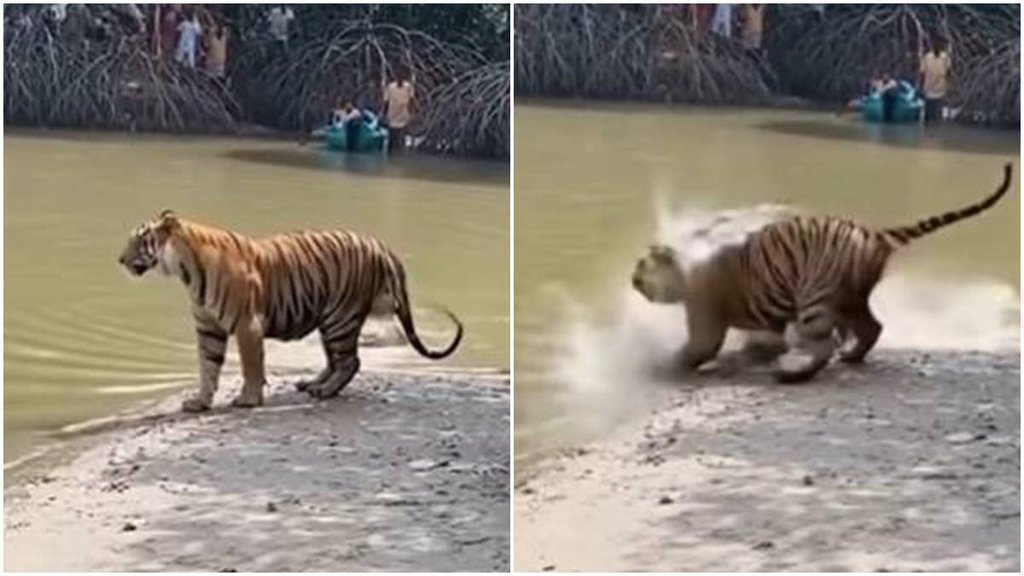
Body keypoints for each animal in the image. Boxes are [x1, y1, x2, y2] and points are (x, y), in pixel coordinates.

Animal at [118, 211, 463, 412]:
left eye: (139, 241)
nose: (120, 259)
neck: (185, 270)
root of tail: (379, 243)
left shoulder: (247, 324)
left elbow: (250, 366)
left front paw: (248, 399)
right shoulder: (208, 328)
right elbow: (208, 366)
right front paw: (200, 401)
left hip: (341, 317)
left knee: (351, 361)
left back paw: (323, 392)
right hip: (330, 320)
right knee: (336, 360)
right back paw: (312, 384)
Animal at [632, 163, 1012, 383]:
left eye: (640, 266)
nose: (631, 280)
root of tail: (874, 233)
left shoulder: (705, 315)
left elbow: (697, 348)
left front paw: (659, 366)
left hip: (816, 295)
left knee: (823, 343)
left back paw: (793, 370)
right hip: (849, 298)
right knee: (872, 327)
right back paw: (852, 356)